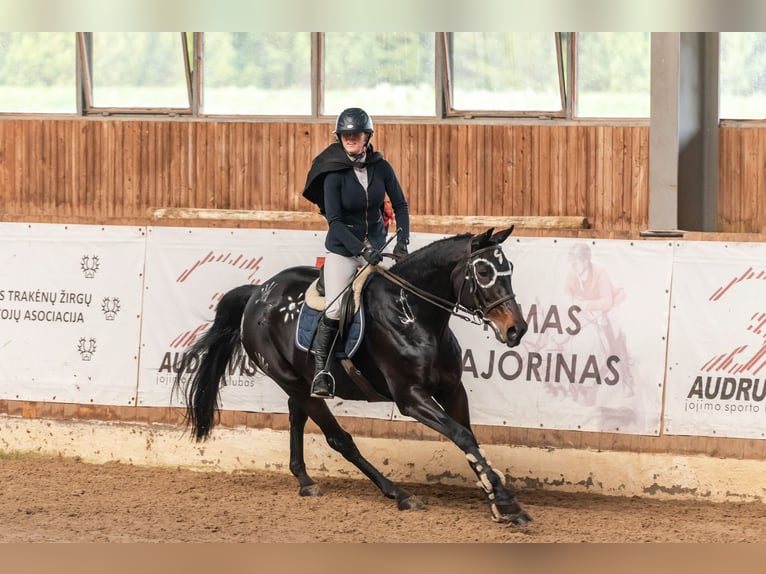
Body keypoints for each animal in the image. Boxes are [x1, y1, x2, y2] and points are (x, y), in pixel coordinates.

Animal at [172, 226, 536, 528]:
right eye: (484, 271)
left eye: (509, 269)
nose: (516, 330)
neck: (412, 314)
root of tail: (258, 293)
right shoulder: (411, 398)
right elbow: (461, 435)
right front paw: (507, 503)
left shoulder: (452, 390)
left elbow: (470, 438)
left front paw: (496, 500)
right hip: (292, 381)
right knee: (339, 439)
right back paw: (399, 494)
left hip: (299, 383)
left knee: (297, 418)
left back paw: (305, 481)